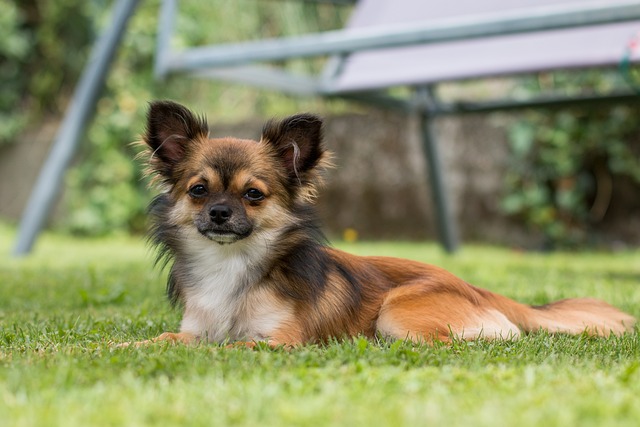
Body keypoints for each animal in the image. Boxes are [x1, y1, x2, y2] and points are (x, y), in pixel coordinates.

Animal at [129, 100, 636, 348]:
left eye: (253, 195)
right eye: (198, 190)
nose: (218, 213)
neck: (232, 265)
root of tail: (475, 288)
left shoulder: (279, 343)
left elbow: (227, 348)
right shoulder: (193, 330)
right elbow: (163, 341)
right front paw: (113, 349)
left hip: (397, 310)